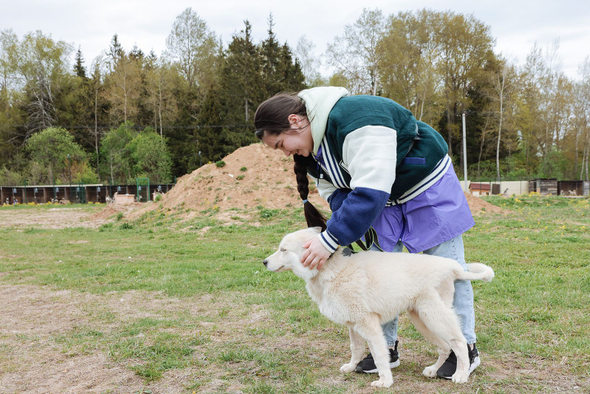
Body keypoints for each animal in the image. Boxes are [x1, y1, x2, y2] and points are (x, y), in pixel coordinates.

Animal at [264, 228, 494, 388]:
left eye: (283, 250)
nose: (264, 262)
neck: (333, 270)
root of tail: (450, 266)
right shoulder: (353, 325)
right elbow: (356, 348)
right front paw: (351, 367)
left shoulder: (368, 324)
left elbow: (379, 354)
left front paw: (385, 381)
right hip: (422, 320)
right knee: (445, 346)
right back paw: (433, 370)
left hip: (434, 316)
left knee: (459, 342)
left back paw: (461, 374)